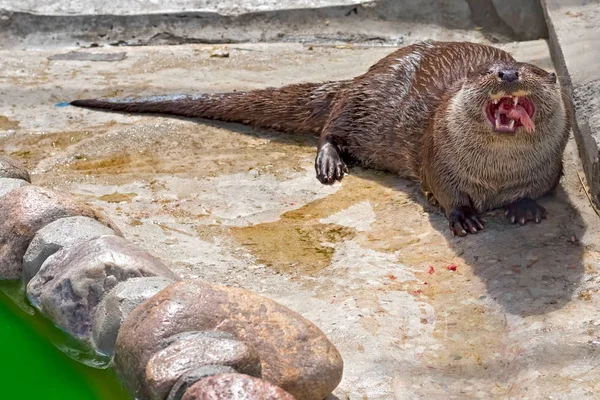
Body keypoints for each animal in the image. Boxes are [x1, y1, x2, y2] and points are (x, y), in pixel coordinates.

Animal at [72, 41, 568, 236]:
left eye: (528, 69)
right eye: (487, 73)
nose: (507, 73)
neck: (495, 179)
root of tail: (361, 76)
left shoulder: (549, 169)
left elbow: (541, 188)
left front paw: (525, 207)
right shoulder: (436, 157)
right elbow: (443, 191)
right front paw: (463, 216)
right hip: (363, 105)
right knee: (330, 127)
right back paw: (330, 163)